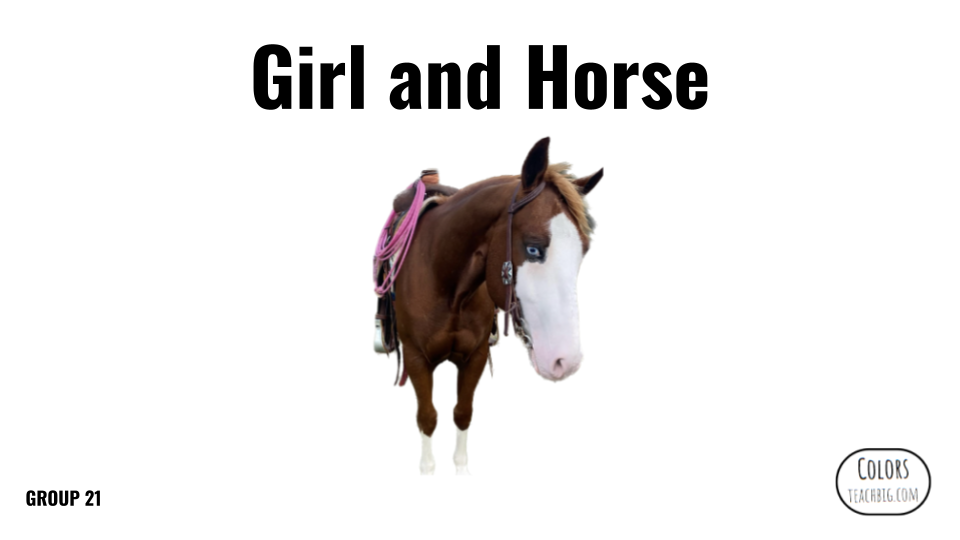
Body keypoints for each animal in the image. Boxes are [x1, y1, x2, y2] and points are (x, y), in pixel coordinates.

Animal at [390, 137, 603, 474]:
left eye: (583, 250)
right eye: (533, 248)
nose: (565, 361)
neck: (447, 284)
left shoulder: (475, 355)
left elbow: (462, 413)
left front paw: (461, 470)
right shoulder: (415, 358)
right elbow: (427, 418)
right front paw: (427, 470)